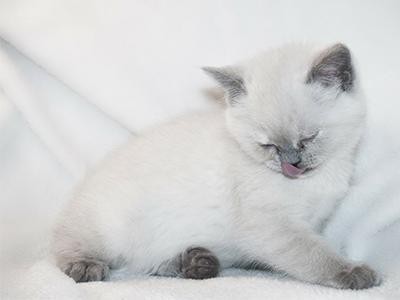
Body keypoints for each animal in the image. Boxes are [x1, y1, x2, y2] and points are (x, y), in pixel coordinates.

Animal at [51, 43, 380, 290]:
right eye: (268, 145)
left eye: (308, 139)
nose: (292, 166)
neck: (321, 177)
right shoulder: (273, 225)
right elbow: (314, 254)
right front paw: (353, 272)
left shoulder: (311, 220)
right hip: (104, 229)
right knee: (69, 244)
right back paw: (85, 266)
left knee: (149, 263)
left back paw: (196, 263)